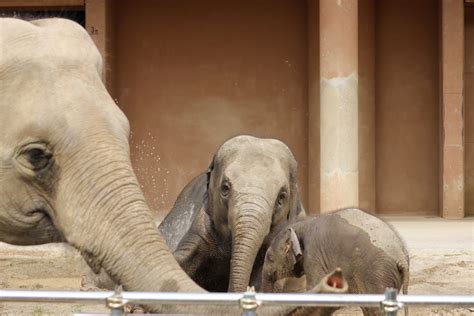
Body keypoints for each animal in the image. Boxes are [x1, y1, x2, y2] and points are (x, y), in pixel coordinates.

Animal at [262, 209, 410, 314]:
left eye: (270, 258)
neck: (302, 225)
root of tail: (402, 257)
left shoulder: (313, 255)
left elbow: (314, 285)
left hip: (377, 274)